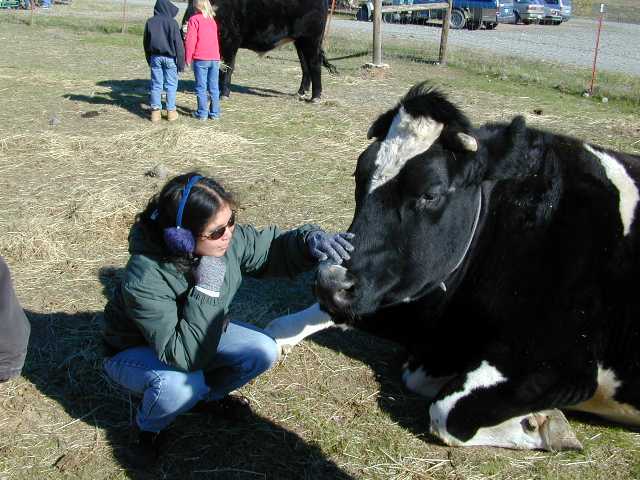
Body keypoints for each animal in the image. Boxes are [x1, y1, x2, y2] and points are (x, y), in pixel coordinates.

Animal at [182, 0, 337, 102]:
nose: (184, 28)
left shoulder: (231, 40)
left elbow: (228, 67)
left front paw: (224, 94)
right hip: (300, 42)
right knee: (305, 66)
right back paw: (300, 92)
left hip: (311, 39)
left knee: (314, 64)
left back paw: (315, 97)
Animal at [266, 82, 640, 451]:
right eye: (359, 173)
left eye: (430, 193)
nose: (330, 283)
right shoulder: (404, 290)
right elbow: (279, 326)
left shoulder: (565, 366)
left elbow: (447, 413)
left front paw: (542, 424)